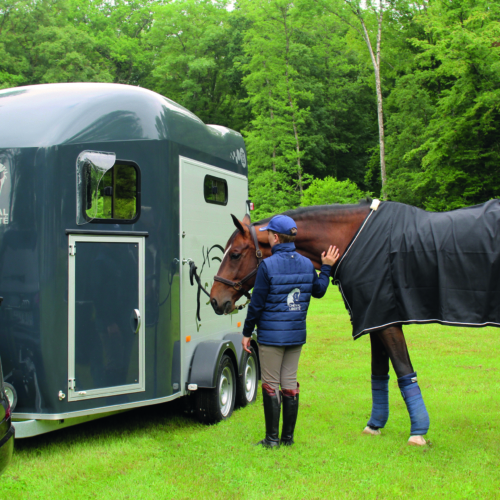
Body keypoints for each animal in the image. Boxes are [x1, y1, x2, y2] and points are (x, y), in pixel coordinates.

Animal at [211, 201, 430, 448]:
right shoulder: (376, 321)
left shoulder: (386, 321)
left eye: (235, 255)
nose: (215, 299)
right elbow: (380, 372)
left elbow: (404, 368)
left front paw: (417, 432)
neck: (356, 238)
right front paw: (375, 425)